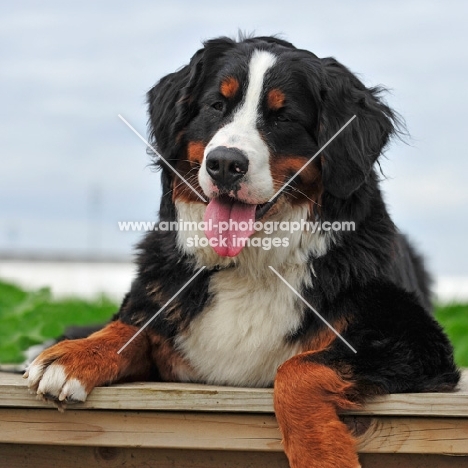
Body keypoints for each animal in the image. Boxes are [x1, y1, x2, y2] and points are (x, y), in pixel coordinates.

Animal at [23, 36, 458, 468]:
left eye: (283, 117)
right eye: (217, 105)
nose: (224, 163)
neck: (251, 264)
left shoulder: (414, 338)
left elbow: (298, 370)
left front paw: (321, 455)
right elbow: (131, 327)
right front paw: (73, 355)